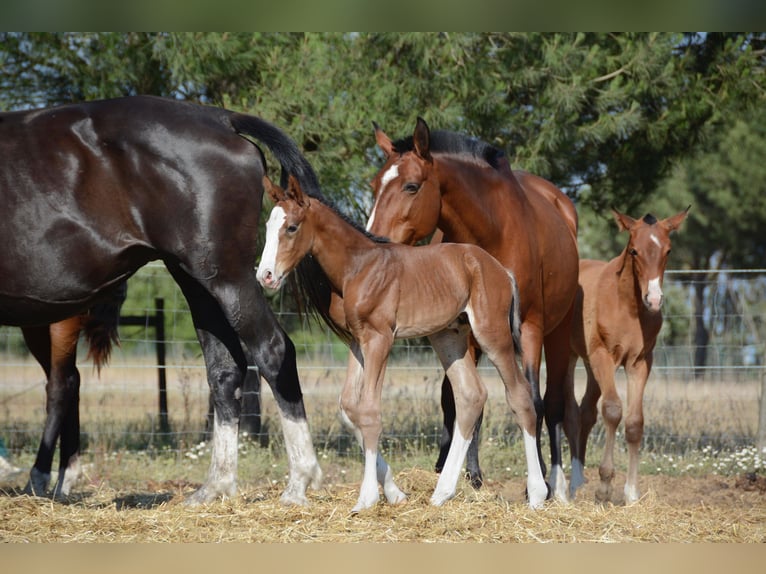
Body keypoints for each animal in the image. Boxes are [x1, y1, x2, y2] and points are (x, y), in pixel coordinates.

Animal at [260, 176, 552, 512]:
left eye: (292, 227)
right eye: (268, 225)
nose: (265, 276)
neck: (359, 266)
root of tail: (501, 270)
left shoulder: (380, 339)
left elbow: (369, 411)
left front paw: (367, 498)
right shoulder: (357, 341)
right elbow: (350, 407)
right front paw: (394, 492)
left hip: (493, 335)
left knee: (520, 396)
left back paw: (537, 494)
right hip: (448, 336)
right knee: (470, 396)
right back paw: (441, 493)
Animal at [368, 119, 580, 502]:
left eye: (411, 186)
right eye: (374, 186)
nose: (373, 238)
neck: (491, 231)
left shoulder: (530, 327)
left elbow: (532, 398)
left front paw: (538, 482)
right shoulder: (463, 330)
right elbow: (459, 399)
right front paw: (463, 473)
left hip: (555, 331)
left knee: (553, 400)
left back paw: (555, 481)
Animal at [568, 209, 688, 506]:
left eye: (668, 250)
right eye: (634, 250)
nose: (653, 299)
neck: (628, 307)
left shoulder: (640, 362)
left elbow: (634, 422)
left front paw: (631, 492)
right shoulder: (604, 356)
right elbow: (613, 411)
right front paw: (604, 486)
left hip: (591, 366)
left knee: (585, 412)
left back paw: (578, 479)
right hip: (572, 356)